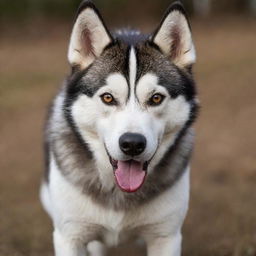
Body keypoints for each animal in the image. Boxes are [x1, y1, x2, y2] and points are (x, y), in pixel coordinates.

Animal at [41, 1, 199, 255]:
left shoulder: (166, 237)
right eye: (108, 98)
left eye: (156, 98)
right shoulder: (69, 236)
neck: (119, 191)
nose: (132, 144)